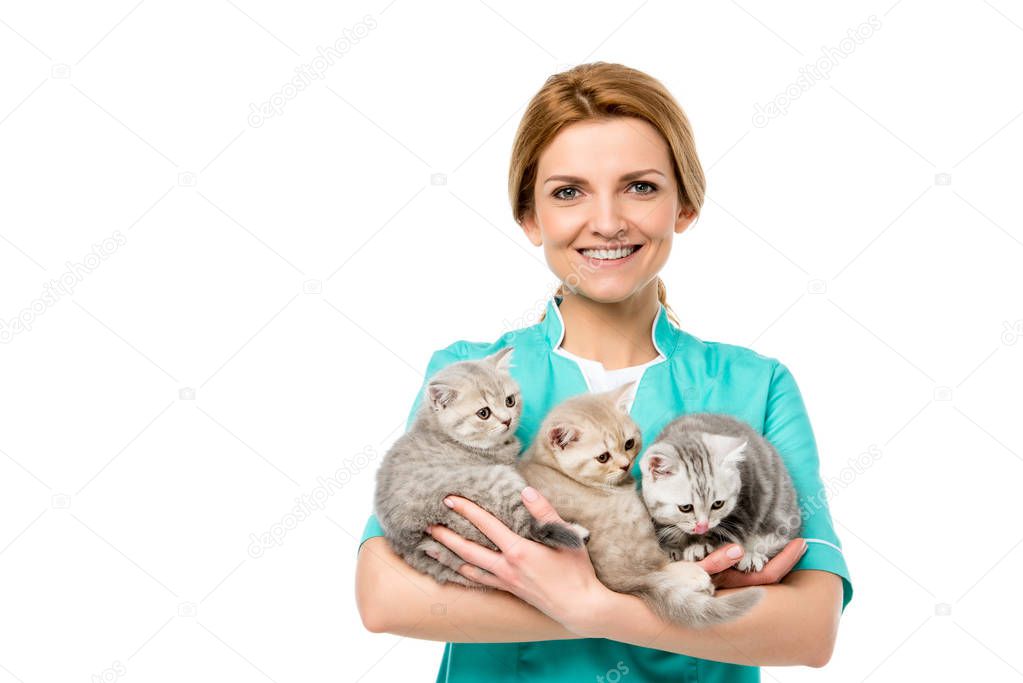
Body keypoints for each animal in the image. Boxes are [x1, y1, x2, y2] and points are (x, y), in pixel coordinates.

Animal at [634, 413, 802, 572]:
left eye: (718, 504)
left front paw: (701, 546)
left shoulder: (746, 500)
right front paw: (671, 547)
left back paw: (751, 556)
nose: (702, 527)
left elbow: (728, 531)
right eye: (685, 507)